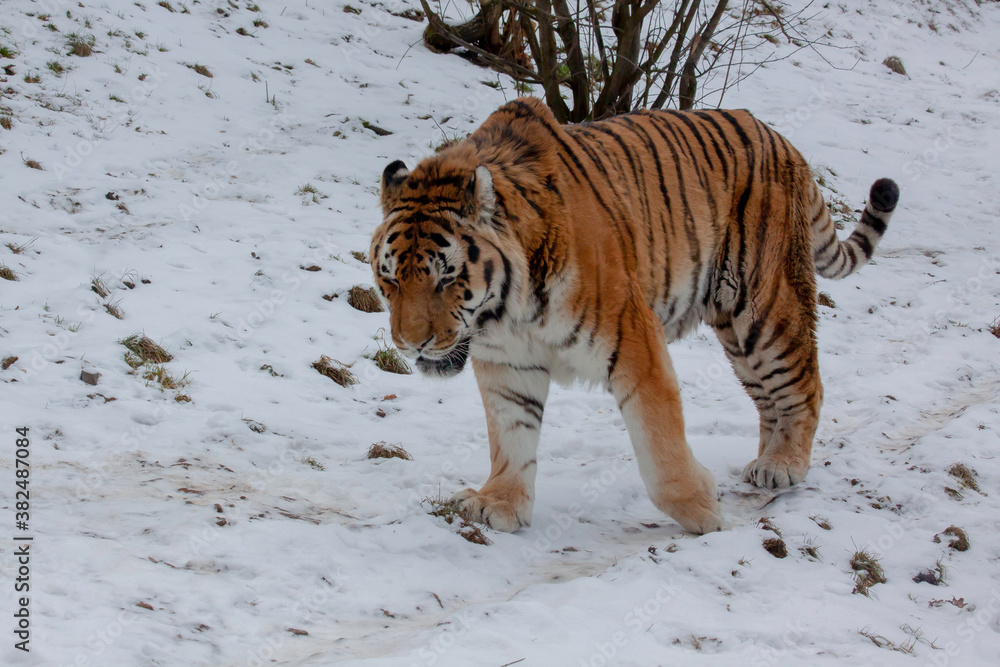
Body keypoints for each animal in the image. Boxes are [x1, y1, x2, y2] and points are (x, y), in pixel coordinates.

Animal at [369, 96, 898, 535]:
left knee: (804, 386)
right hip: (737, 334)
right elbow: (511, 436)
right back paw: (767, 461)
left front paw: (704, 512)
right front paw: (501, 503)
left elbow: (659, 442)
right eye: (390, 279)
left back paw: (783, 465)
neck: (507, 311)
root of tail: (781, 140)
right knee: (769, 400)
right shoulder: (508, 363)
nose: (410, 343)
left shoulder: (634, 342)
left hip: (766, 309)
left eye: (446, 278)